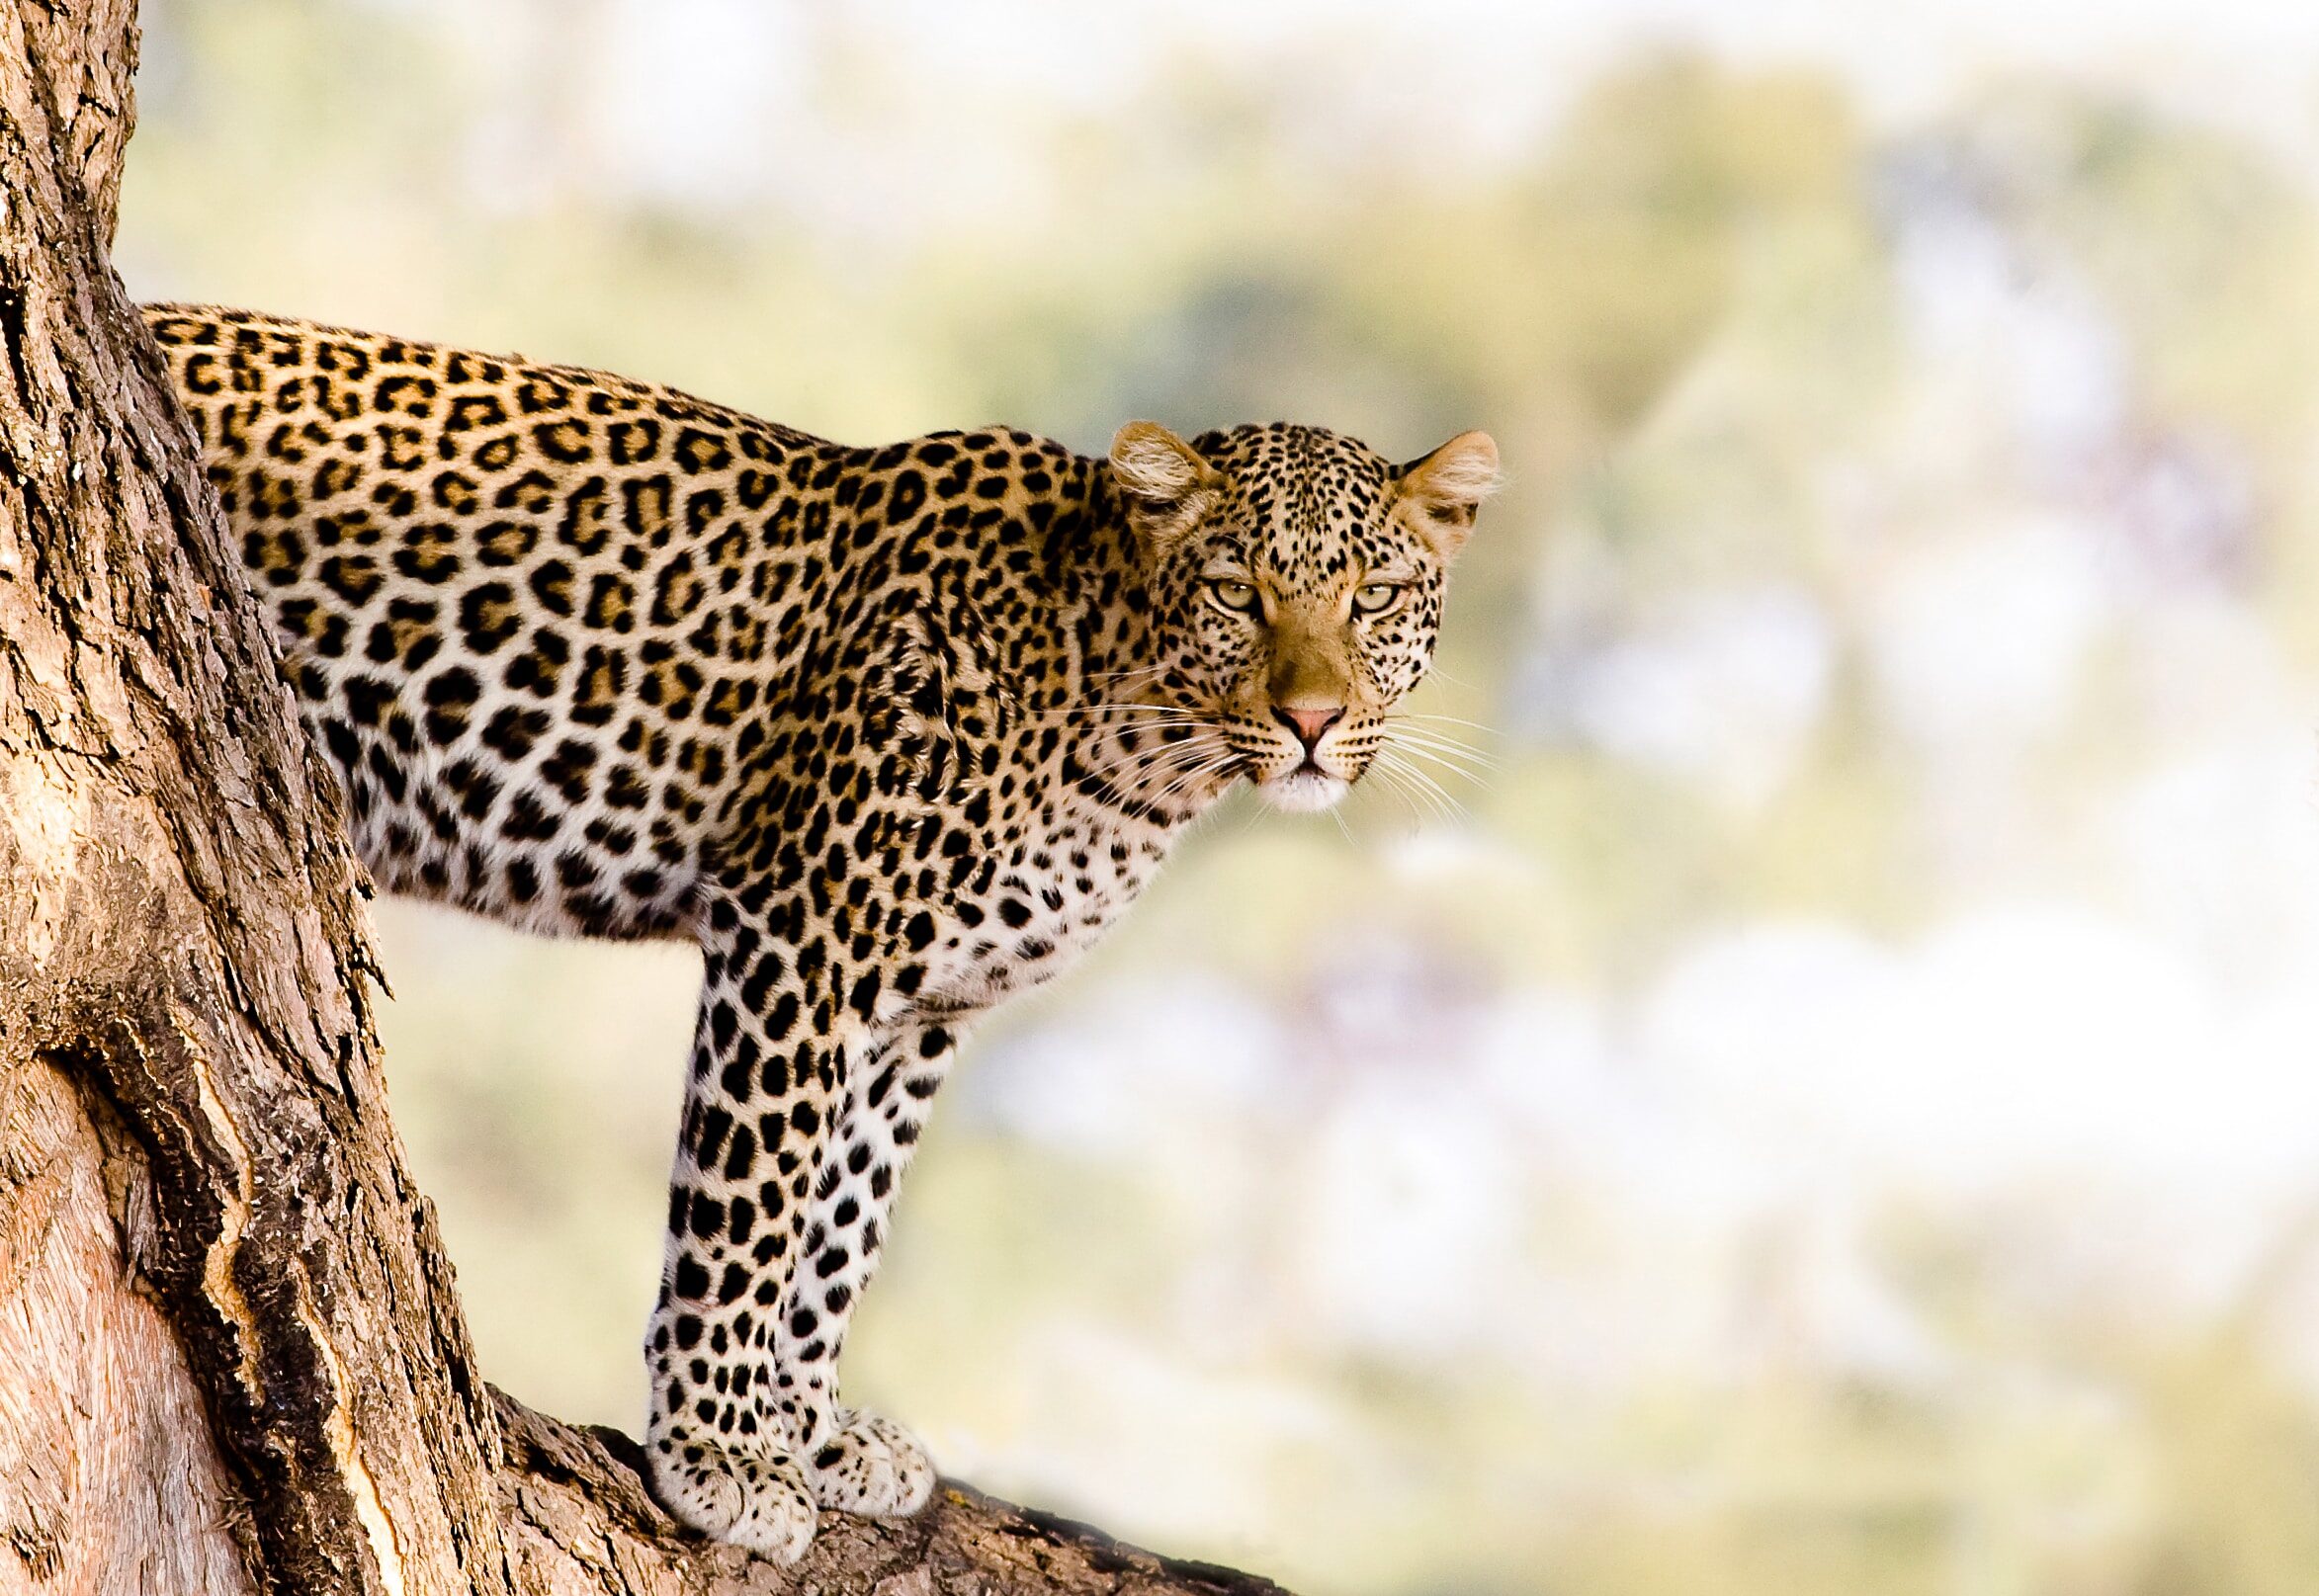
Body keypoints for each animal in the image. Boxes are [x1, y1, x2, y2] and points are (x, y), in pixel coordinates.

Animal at [139, 305, 1503, 1567]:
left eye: (1373, 597)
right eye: (1235, 592)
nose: (1313, 717)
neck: (1131, 745)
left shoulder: (919, 1009)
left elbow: (845, 1219)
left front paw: (811, 1428)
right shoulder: (802, 931)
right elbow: (753, 1207)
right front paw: (723, 1449)